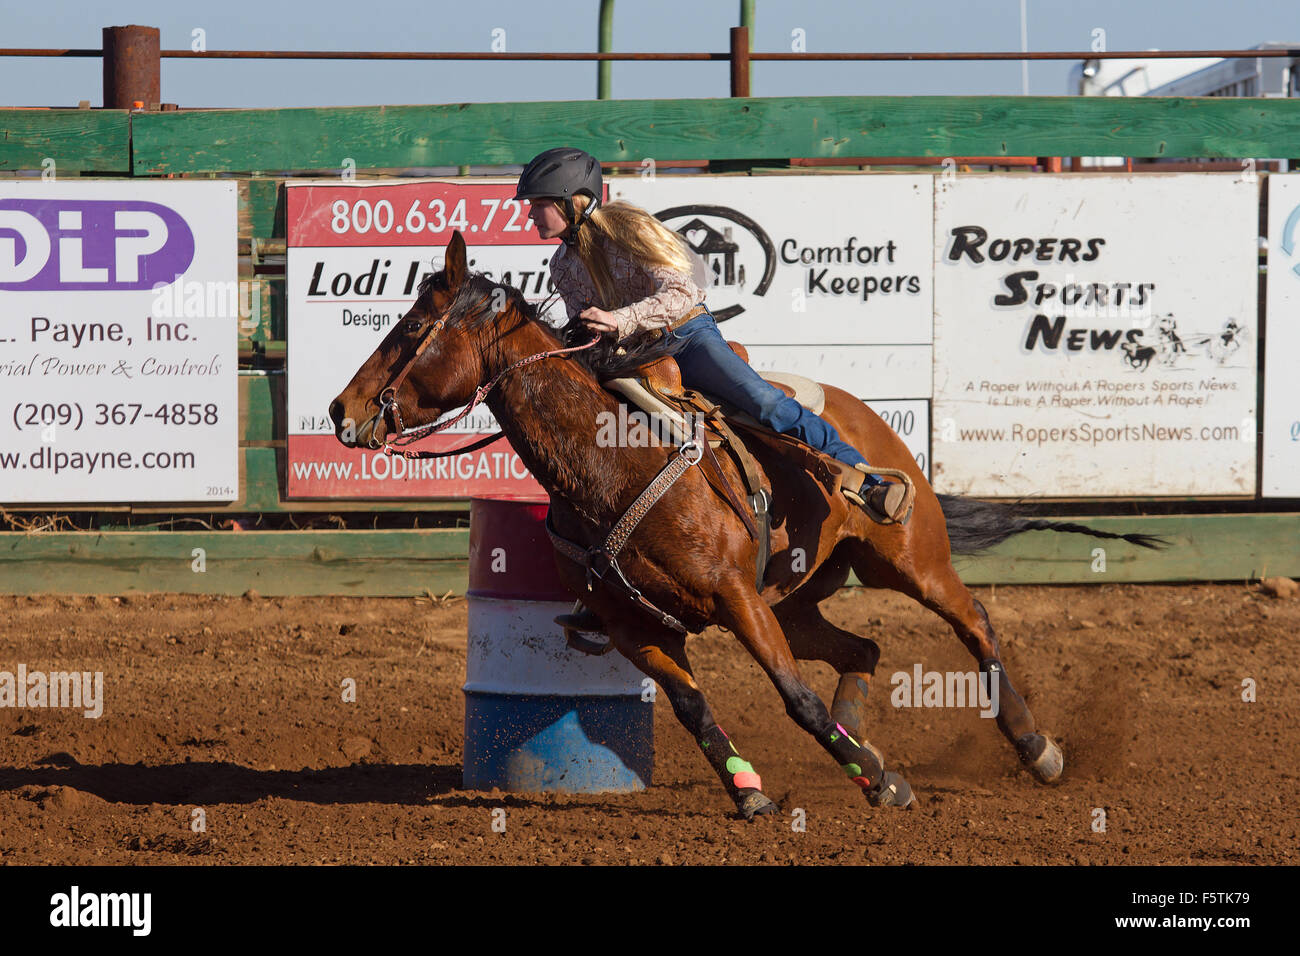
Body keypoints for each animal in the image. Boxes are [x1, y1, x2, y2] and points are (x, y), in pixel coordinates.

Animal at [330, 234, 1164, 822]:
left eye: (411, 329)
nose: (342, 410)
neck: (608, 464)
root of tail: (870, 425)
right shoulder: (636, 626)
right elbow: (694, 710)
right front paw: (754, 790)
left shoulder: (736, 599)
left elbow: (796, 699)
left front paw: (879, 786)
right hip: (795, 600)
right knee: (864, 648)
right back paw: (864, 739)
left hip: (906, 561)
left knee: (974, 621)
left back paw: (1033, 747)